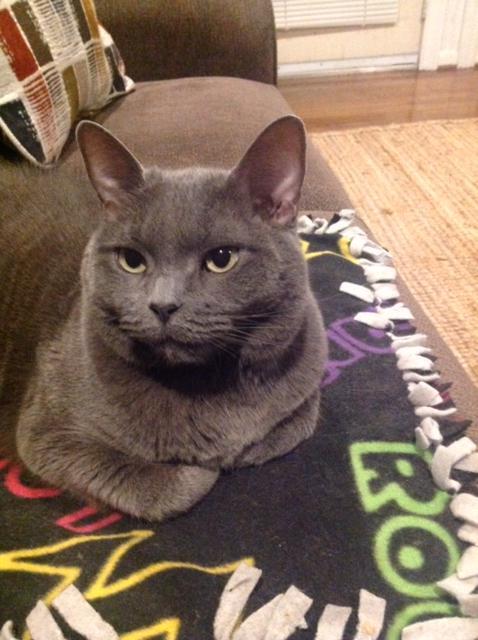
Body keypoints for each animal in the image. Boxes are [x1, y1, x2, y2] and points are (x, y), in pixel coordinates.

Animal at [0, 117, 328, 520]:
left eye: (221, 259)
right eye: (131, 260)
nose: (162, 305)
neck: (206, 384)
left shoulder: (305, 376)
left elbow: (293, 425)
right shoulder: (46, 434)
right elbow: (167, 485)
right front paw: (205, 464)